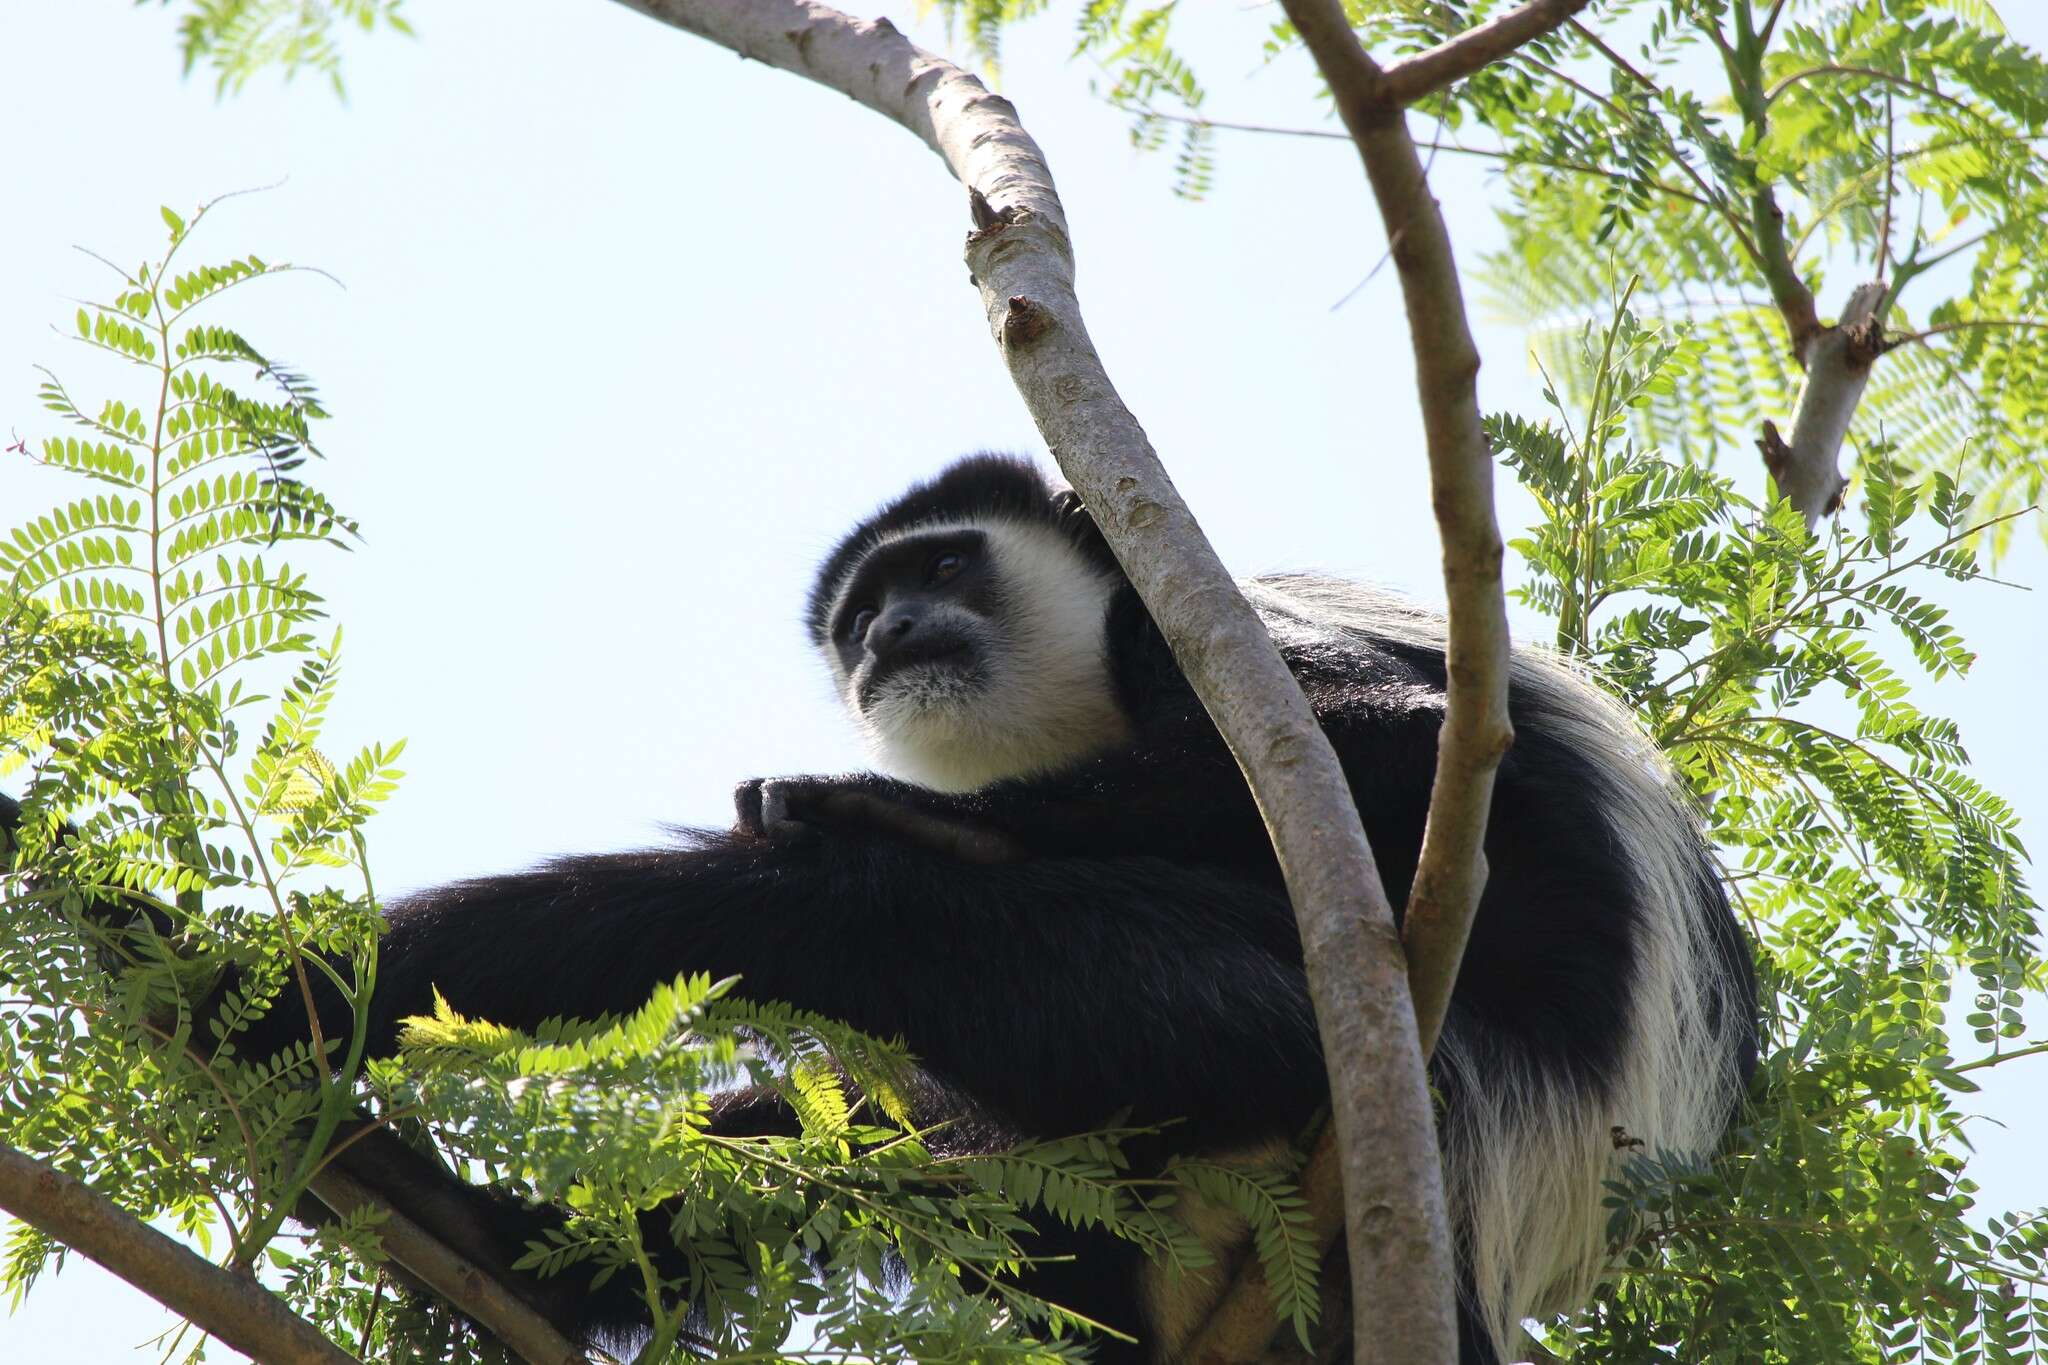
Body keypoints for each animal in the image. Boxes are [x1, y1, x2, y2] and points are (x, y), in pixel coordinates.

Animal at [39, 454, 1753, 1358]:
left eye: (941, 568)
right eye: (861, 612)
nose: (886, 640)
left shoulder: (1203, 632)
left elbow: (1407, 744)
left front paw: (894, 806)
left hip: (1308, 1056)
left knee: (836, 923)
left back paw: (234, 1008)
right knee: (867, 1110)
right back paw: (449, 1217)